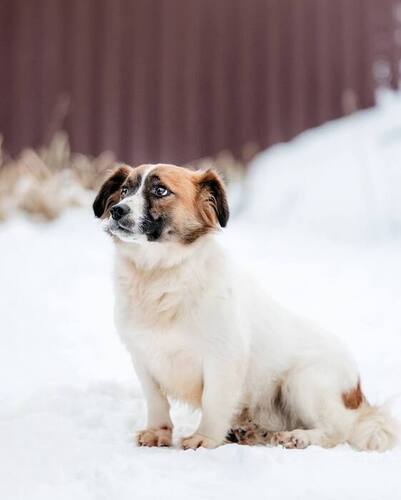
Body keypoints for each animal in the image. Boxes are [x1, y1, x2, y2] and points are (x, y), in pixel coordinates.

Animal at [93, 163, 398, 451]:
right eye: (124, 190)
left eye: (160, 191)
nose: (117, 211)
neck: (159, 275)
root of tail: (358, 395)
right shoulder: (144, 358)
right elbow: (156, 401)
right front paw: (158, 433)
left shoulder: (223, 359)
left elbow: (214, 402)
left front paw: (205, 439)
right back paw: (251, 432)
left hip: (303, 381)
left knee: (336, 431)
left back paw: (298, 437)